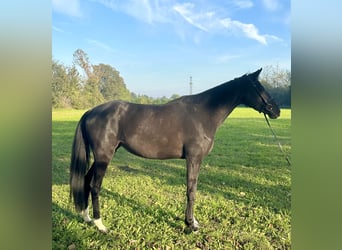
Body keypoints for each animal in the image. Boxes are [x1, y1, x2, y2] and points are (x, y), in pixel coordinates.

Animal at [70, 68, 280, 232]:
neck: (203, 114)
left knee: (86, 180)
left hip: (101, 157)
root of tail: (91, 112)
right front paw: (191, 224)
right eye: (258, 87)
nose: (276, 110)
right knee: (95, 186)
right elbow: (191, 190)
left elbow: (191, 189)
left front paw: (192, 221)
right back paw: (100, 224)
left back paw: (86, 217)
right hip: (104, 157)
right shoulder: (194, 158)